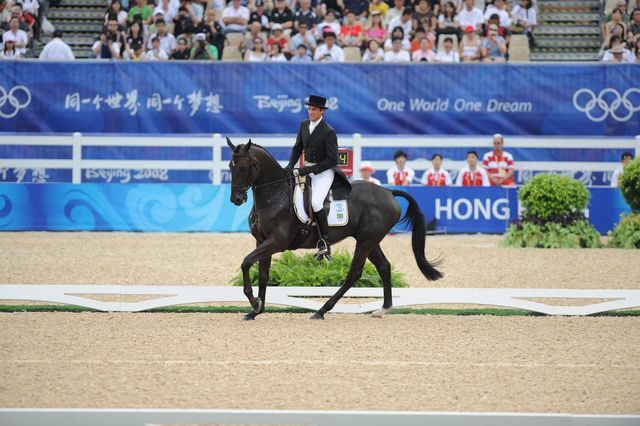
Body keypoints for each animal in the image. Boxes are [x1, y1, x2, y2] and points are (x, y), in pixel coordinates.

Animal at [227, 137, 443, 320]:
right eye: (230, 166)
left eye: (244, 167)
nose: (236, 199)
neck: (274, 195)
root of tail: (388, 192)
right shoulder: (262, 240)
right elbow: (263, 275)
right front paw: (256, 310)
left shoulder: (277, 242)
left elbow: (246, 262)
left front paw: (254, 302)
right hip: (370, 240)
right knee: (383, 266)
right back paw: (383, 309)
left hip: (365, 241)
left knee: (354, 273)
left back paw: (321, 311)